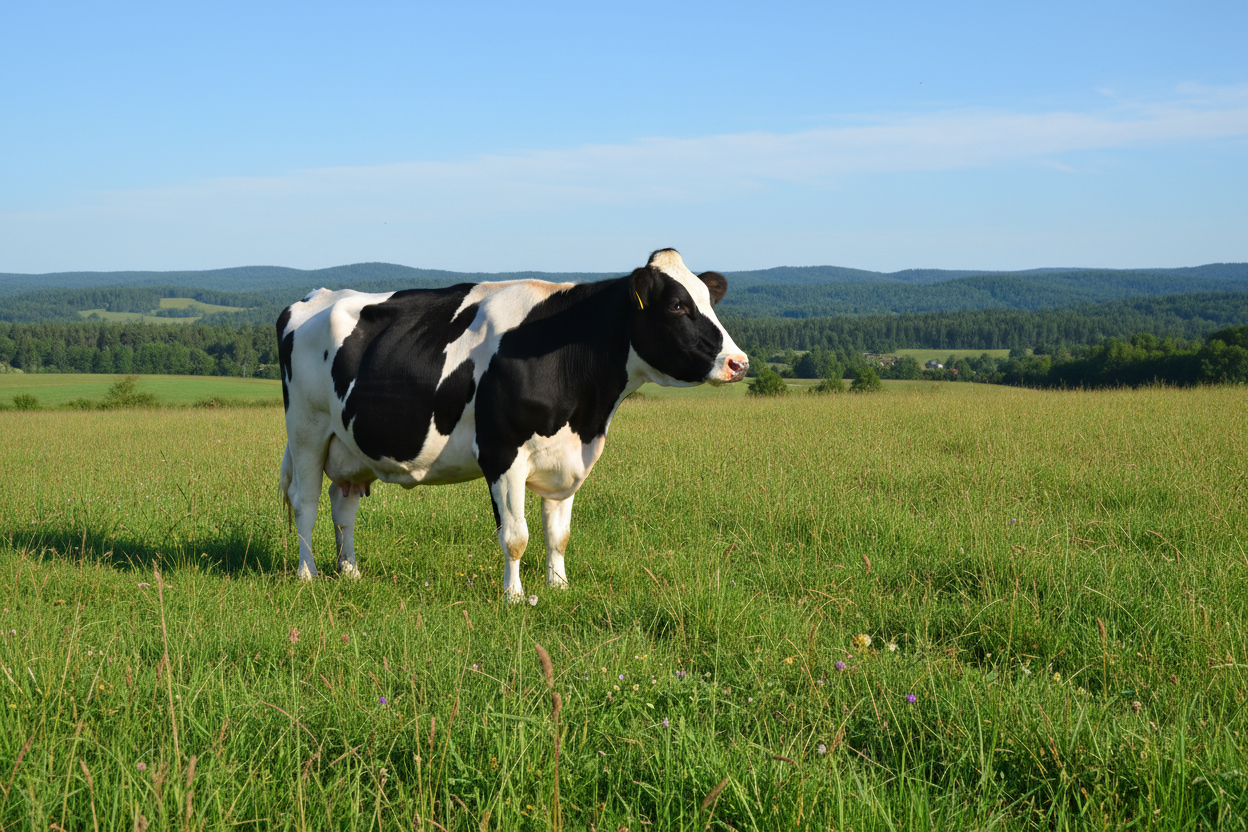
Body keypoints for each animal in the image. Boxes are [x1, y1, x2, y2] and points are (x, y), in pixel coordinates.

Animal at [277, 248, 748, 600]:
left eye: (709, 301)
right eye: (677, 305)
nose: (738, 363)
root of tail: (311, 298)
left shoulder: (566, 457)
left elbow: (558, 534)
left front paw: (558, 587)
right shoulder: (501, 453)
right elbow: (515, 535)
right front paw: (515, 597)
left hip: (349, 444)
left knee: (343, 504)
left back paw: (350, 571)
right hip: (306, 429)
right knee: (305, 502)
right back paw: (308, 574)